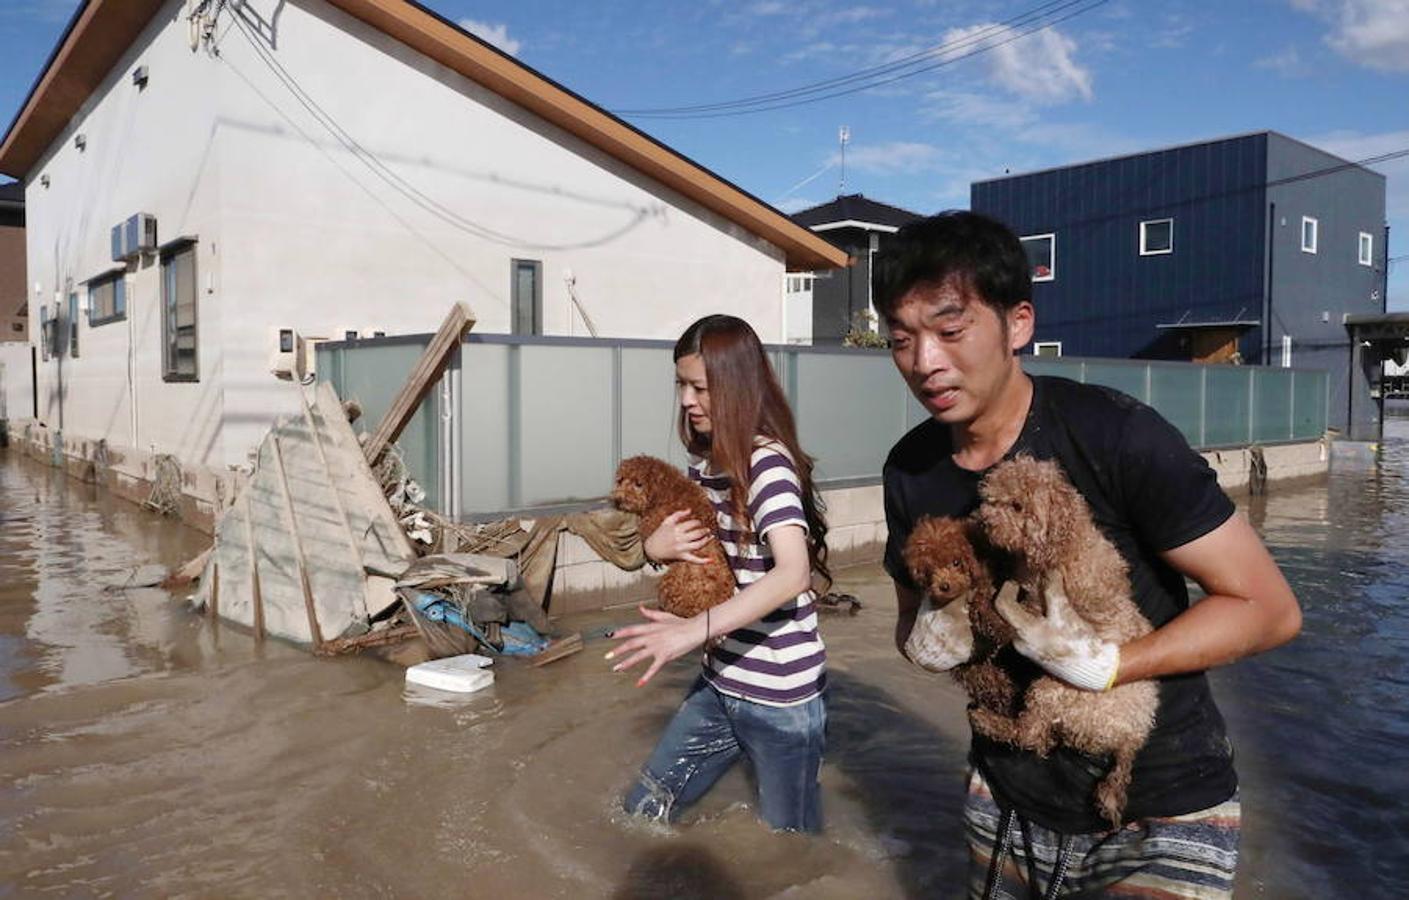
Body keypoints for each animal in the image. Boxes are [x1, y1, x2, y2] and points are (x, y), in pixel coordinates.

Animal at [608, 456, 738, 619]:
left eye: (638, 484)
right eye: (620, 480)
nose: (618, 500)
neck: (666, 490)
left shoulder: (651, 524)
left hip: (669, 584)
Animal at [907, 512, 1020, 718]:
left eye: (956, 562)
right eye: (929, 571)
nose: (944, 586)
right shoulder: (973, 604)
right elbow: (984, 613)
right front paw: (1004, 630)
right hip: (970, 669)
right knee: (986, 682)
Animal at [969, 456, 1155, 833]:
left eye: (1017, 506)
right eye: (991, 498)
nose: (984, 521)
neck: (1066, 540)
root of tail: (1129, 739)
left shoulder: (1040, 598)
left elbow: (1010, 607)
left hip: (1053, 689)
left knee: (1028, 735)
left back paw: (987, 721)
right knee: (1040, 739)